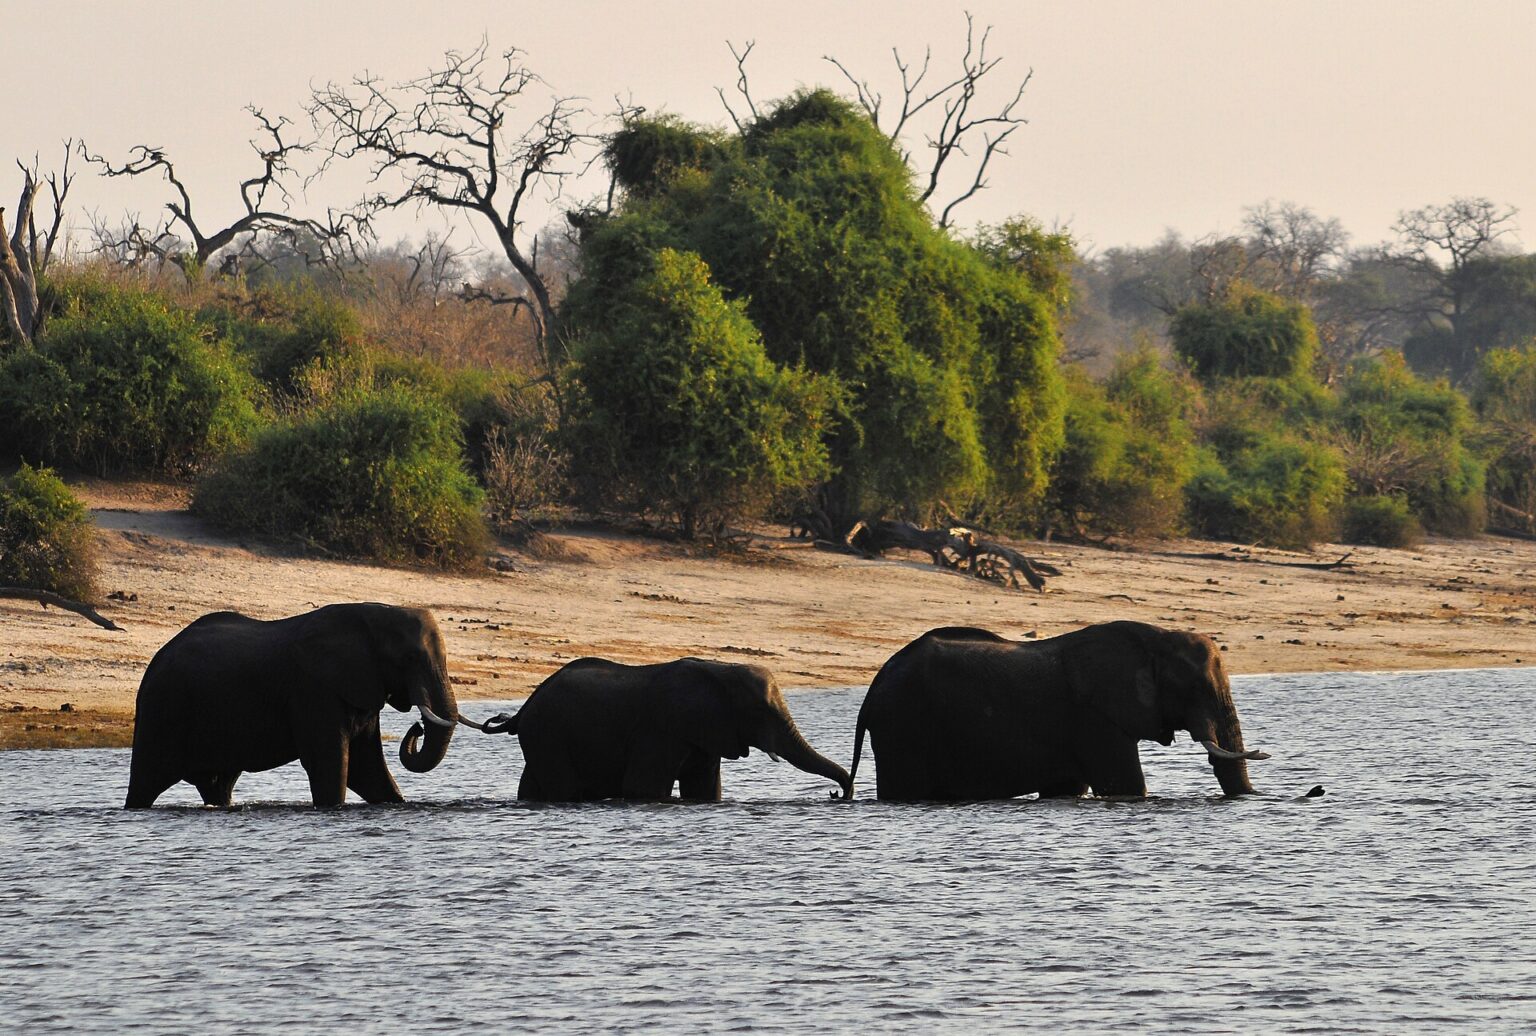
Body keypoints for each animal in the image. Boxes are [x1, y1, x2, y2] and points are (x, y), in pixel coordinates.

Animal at [125, 603, 460, 808]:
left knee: (217, 785)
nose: (416, 727)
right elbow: (332, 763)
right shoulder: (313, 689)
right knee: (145, 783)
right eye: (410, 658)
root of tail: (154, 662)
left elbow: (367, 770)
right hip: (163, 710)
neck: (373, 613)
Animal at [468, 656, 851, 801]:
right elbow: (643, 788)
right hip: (547, 734)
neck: (721, 669)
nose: (837, 794)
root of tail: (524, 708)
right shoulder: (660, 730)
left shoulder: (707, 733)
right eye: (762, 711)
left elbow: (705, 789)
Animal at [845, 621, 1268, 801]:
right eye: (1196, 689)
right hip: (904, 727)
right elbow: (1126, 786)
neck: (1156, 638)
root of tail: (875, 685)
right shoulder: (1095, 717)